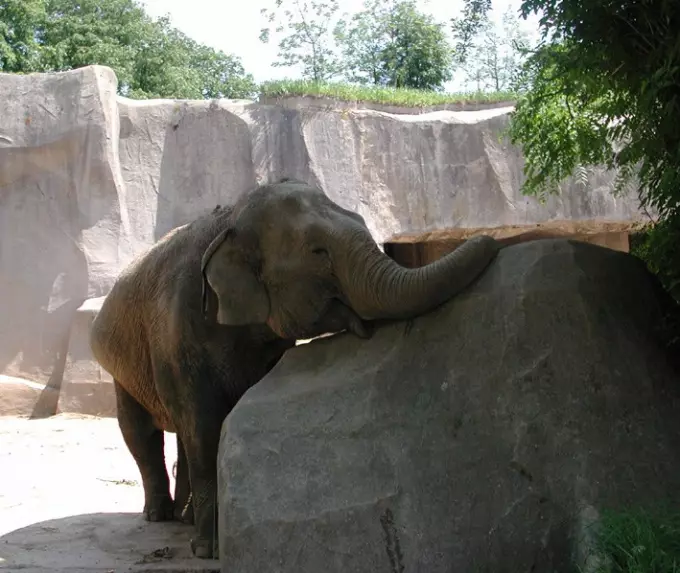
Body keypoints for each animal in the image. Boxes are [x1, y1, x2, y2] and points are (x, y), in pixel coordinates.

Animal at [89, 177, 500, 556]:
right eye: (318, 251)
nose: (491, 240)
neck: (231, 216)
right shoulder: (179, 332)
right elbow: (203, 430)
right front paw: (208, 551)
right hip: (122, 365)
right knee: (141, 431)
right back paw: (158, 516)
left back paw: (182, 518)